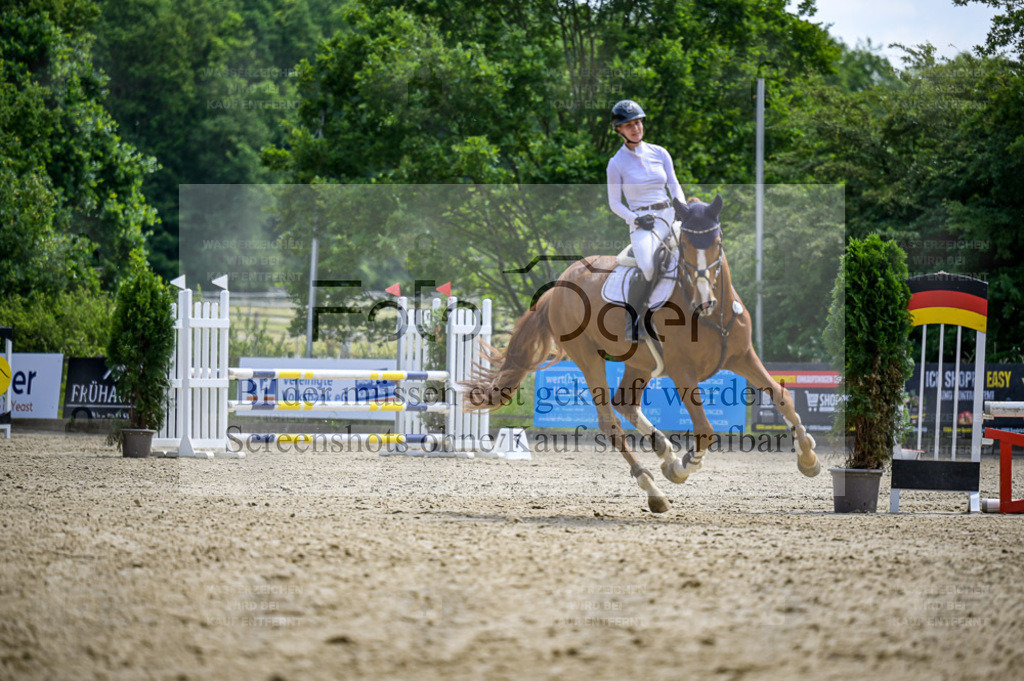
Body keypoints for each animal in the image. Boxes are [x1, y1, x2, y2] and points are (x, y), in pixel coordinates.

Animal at [464, 193, 823, 512]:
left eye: (717, 243)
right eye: (686, 246)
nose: (704, 300)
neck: (710, 315)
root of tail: (559, 286)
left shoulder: (743, 357)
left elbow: (781, 396)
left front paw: (808, 458)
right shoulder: (682, 372)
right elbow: (705, 431)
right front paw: (681, 469)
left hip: (638, 363)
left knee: (625, 401)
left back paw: (664, 451)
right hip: (589, 358)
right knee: (610, 421)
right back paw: (654, 489)